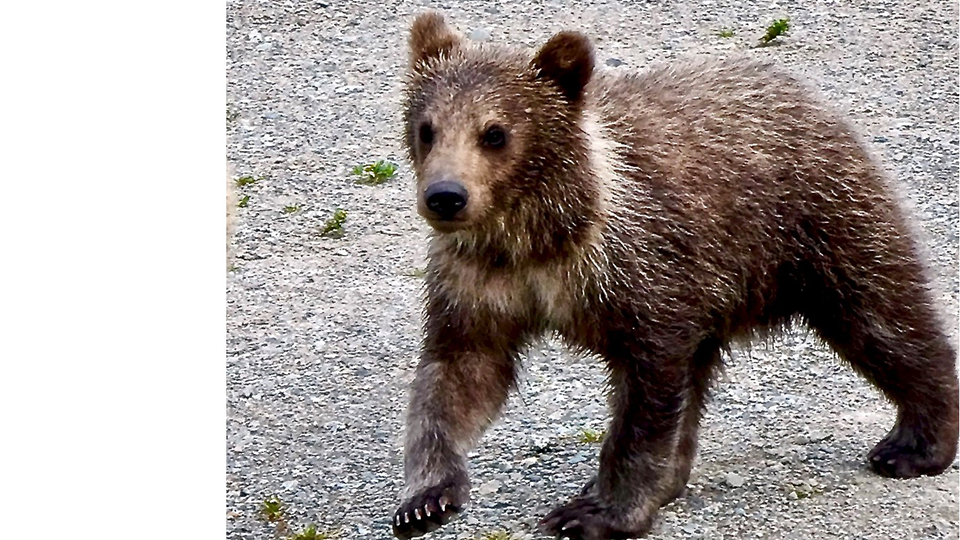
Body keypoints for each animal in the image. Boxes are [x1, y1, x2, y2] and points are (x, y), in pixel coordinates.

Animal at [392, 12, 959, 540]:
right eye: (427, 128)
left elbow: (646, 403)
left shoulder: (642, 275)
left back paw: (916, 441)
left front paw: (598, 512)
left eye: (495, 132)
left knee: (881, 318)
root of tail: (802, 90)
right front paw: (426, 498)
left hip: (820, 224)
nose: (446, 196)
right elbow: (459, 376)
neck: (537, 241)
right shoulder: (480, 283)